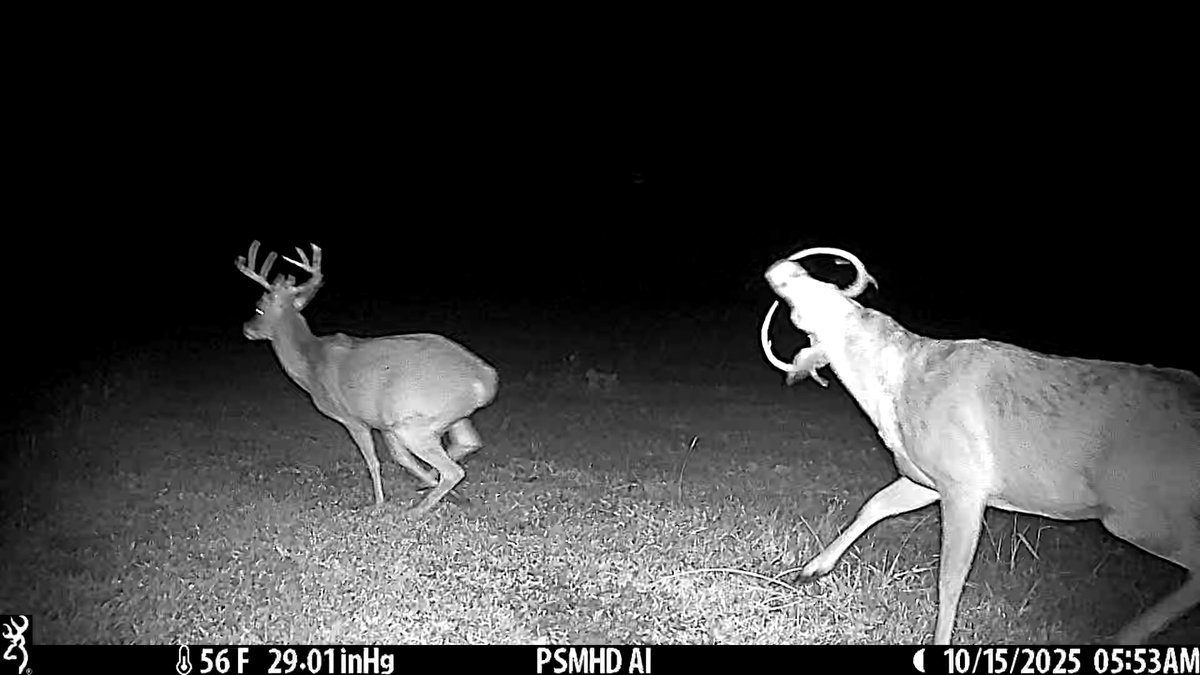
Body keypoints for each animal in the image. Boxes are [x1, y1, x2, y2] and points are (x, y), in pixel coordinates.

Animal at [235, 240, 499, 516]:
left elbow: (373, 461)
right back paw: (438, 490)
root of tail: (486, 378)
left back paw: (416, 510)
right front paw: (436, 488)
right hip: (447, 416)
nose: (246, 328)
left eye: (258, 308)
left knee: (453, 470)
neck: (311, 365)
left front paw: (379, 503)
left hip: (414, 424)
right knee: (468, 443)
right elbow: (401, 458)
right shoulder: (383, 422)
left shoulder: (353, 418)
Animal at [759, 246, 1200, 645]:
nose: (779, 267)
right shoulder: (927, 478)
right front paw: (811, 569)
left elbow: (950, 578)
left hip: (1138, 513)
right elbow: (875, 505)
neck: (896, 388)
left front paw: (939, 641)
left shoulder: (966, 483)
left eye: (805, 307)